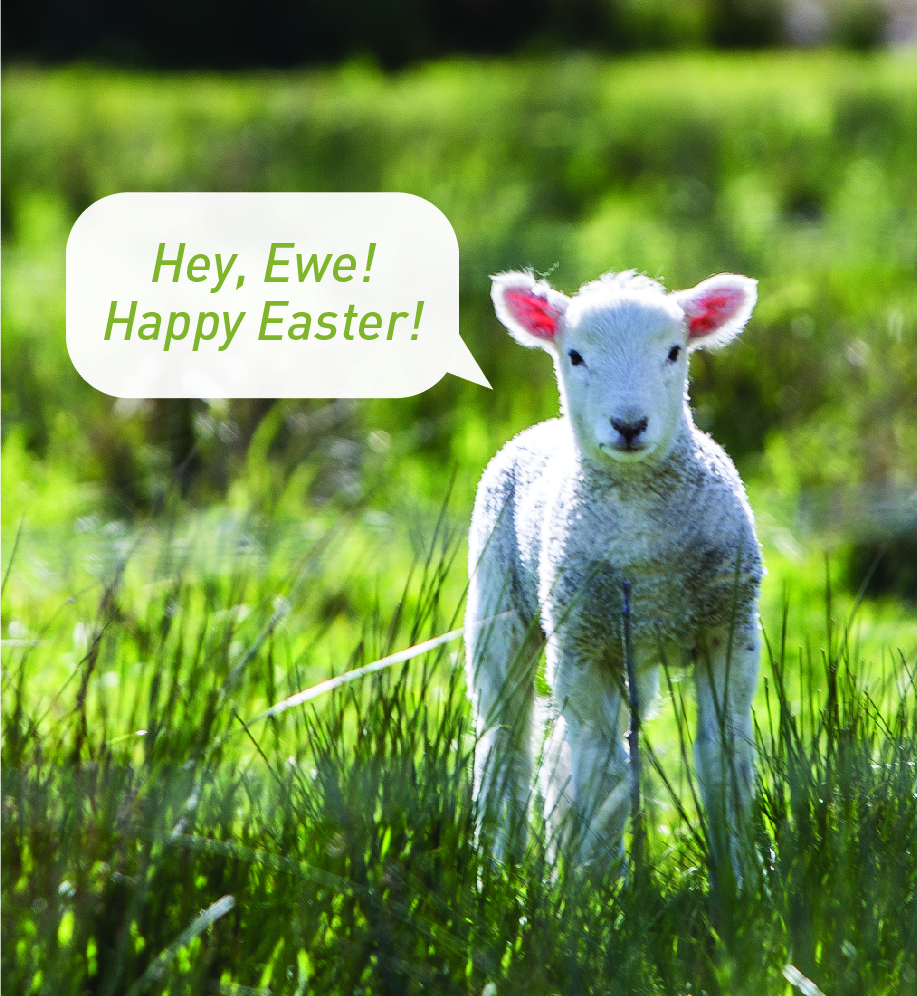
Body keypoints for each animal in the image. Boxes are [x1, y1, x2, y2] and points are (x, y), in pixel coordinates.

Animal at [465, 268, 763, 872]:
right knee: (505, 741)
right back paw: (499, 865)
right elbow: (600, 771)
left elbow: (723, 758)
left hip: (631, 650)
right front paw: (594, 886)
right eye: (575, 355)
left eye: (674, 351)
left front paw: (739, 876)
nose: (629, 425)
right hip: (499, 607)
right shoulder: (583, 647)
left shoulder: (729, 630)